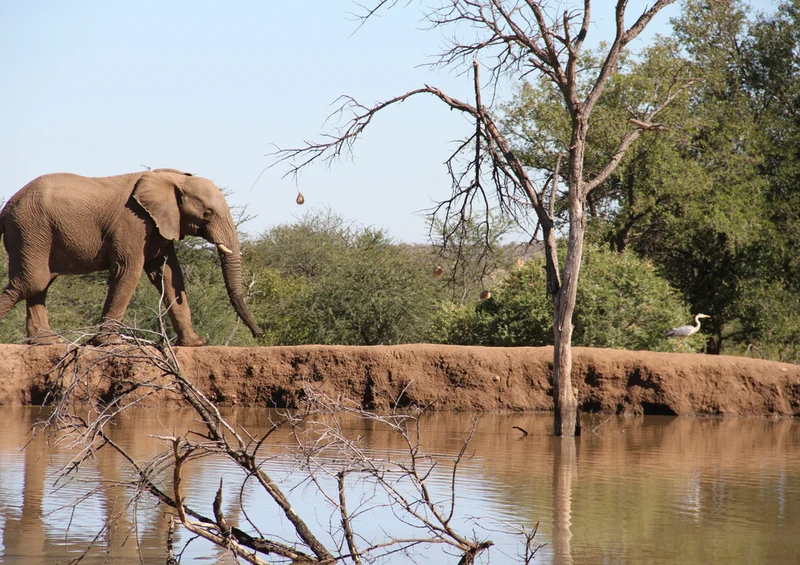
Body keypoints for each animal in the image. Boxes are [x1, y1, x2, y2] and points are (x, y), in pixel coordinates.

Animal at [0, 168, 263, 346]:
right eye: (207, 213)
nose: (258, 334)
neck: (173, 179)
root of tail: (6, 207)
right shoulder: (134, 222)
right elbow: (128, 271)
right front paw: (108, 343)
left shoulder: (160, 225)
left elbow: (169, 275)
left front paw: (194, 343)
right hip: (29, 228)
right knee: (31, 282)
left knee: (41, 283)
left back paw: (47, 342)